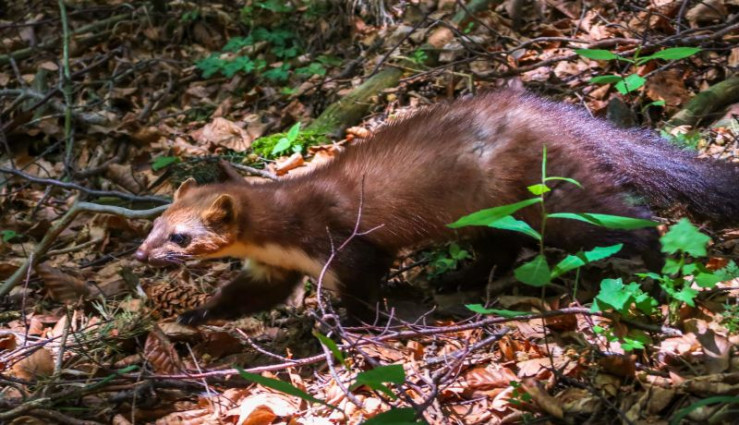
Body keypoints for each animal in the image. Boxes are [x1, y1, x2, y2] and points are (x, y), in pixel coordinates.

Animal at [135, 89, 739, 325]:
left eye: (180, 237)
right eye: (154, 227)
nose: (142, 258)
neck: (282, 234)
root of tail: (558, 112)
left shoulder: (343, 241)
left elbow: (363, 282)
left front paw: (353, 322)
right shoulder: (272, 269)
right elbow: (247, 296)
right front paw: (194, 315)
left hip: (552, 197)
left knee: (627, 219)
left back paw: (654, 266)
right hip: (488, 213)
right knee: (500, 250)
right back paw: (457, 280)